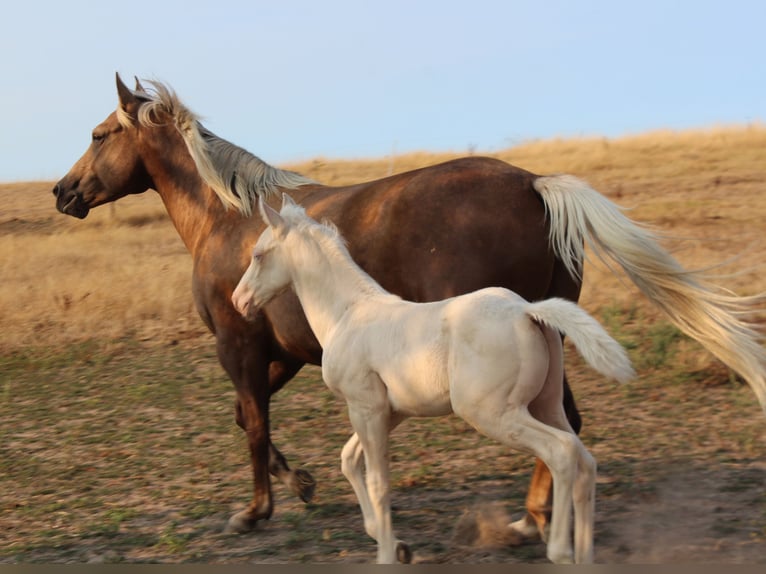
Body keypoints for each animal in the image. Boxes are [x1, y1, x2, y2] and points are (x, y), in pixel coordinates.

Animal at [231, 194, 635, 563]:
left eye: (258, 255)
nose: (239, 301)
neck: (347, 313)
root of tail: (526, 310)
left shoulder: (365, 408)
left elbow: (378, 482)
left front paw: (387, 556)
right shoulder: (390, 412)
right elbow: (349, 460)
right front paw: (396, 545)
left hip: (494, 414)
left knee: (562, 453)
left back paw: (559, 550)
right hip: (544, 405)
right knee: (585, 460)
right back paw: (583, 554)